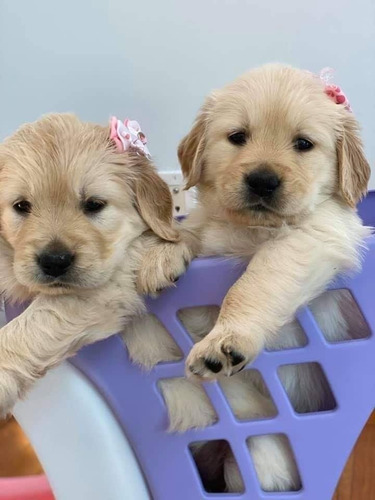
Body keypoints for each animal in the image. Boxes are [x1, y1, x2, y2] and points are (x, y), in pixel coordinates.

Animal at [0, 113, 184, 418]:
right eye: (21, 206)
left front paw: (161, 255)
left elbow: (29, 327)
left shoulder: (102, 290)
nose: (54, 261)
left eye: (94, 204)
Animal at [128, 63, 372, 492]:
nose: (262, 180)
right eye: (238, 137)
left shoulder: (314, 235)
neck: (251, 230)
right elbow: (191, 229)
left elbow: (254, 283)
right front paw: (161, 253)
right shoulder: (210, 229)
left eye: (303, 144)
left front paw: (226, 340)